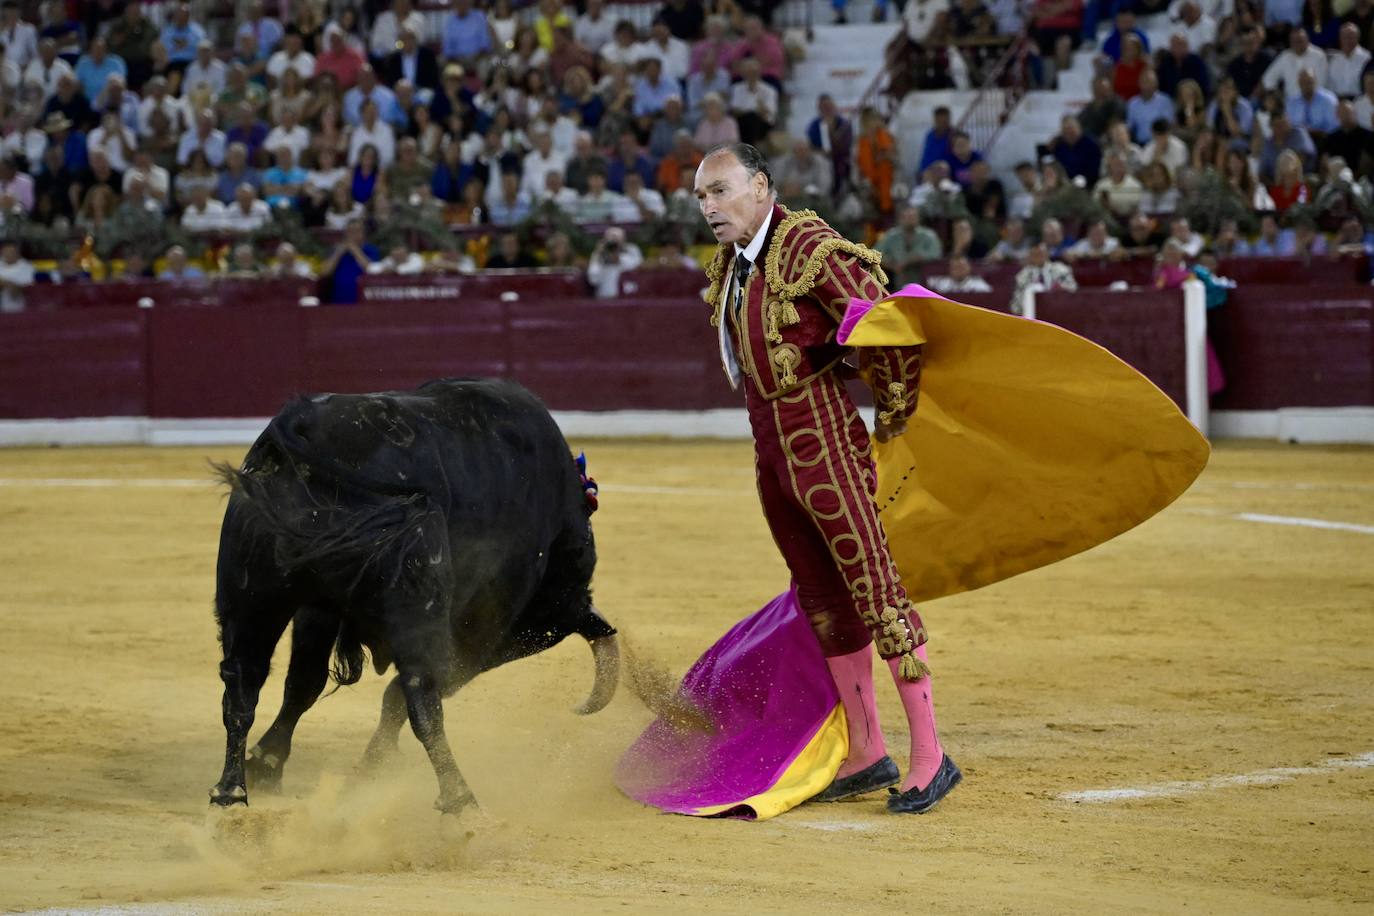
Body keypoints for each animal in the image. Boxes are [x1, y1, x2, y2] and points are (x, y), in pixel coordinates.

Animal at [207, 376, 618, 813]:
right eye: (533, 634)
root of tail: (316, 434)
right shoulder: (479, 628)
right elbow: (402, 692)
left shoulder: (320, 606)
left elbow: (304, 681)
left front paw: (268, 760)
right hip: (415, 605)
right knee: (422, 692)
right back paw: (459, 798)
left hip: (251, 593)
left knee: (242, 681)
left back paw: (230, 790)